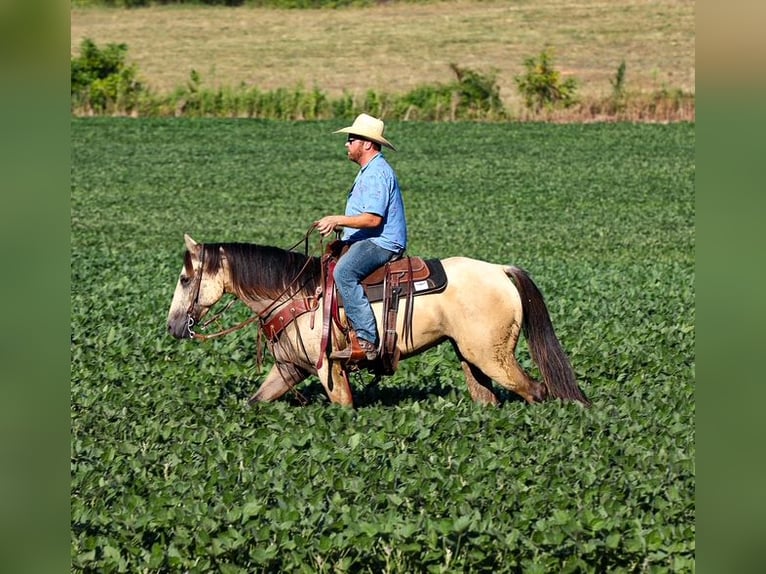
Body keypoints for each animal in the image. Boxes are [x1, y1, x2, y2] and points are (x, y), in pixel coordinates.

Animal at [167, 234, 590, 408]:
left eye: (185, 279)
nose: (173, 326)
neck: (296, 294)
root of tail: (500, 271)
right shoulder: (289, 368)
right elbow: (255, 401)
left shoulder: (328, 369)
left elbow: (344, 407)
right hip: (472, 359)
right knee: (488, 399)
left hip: (493, 357)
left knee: (536, 391)